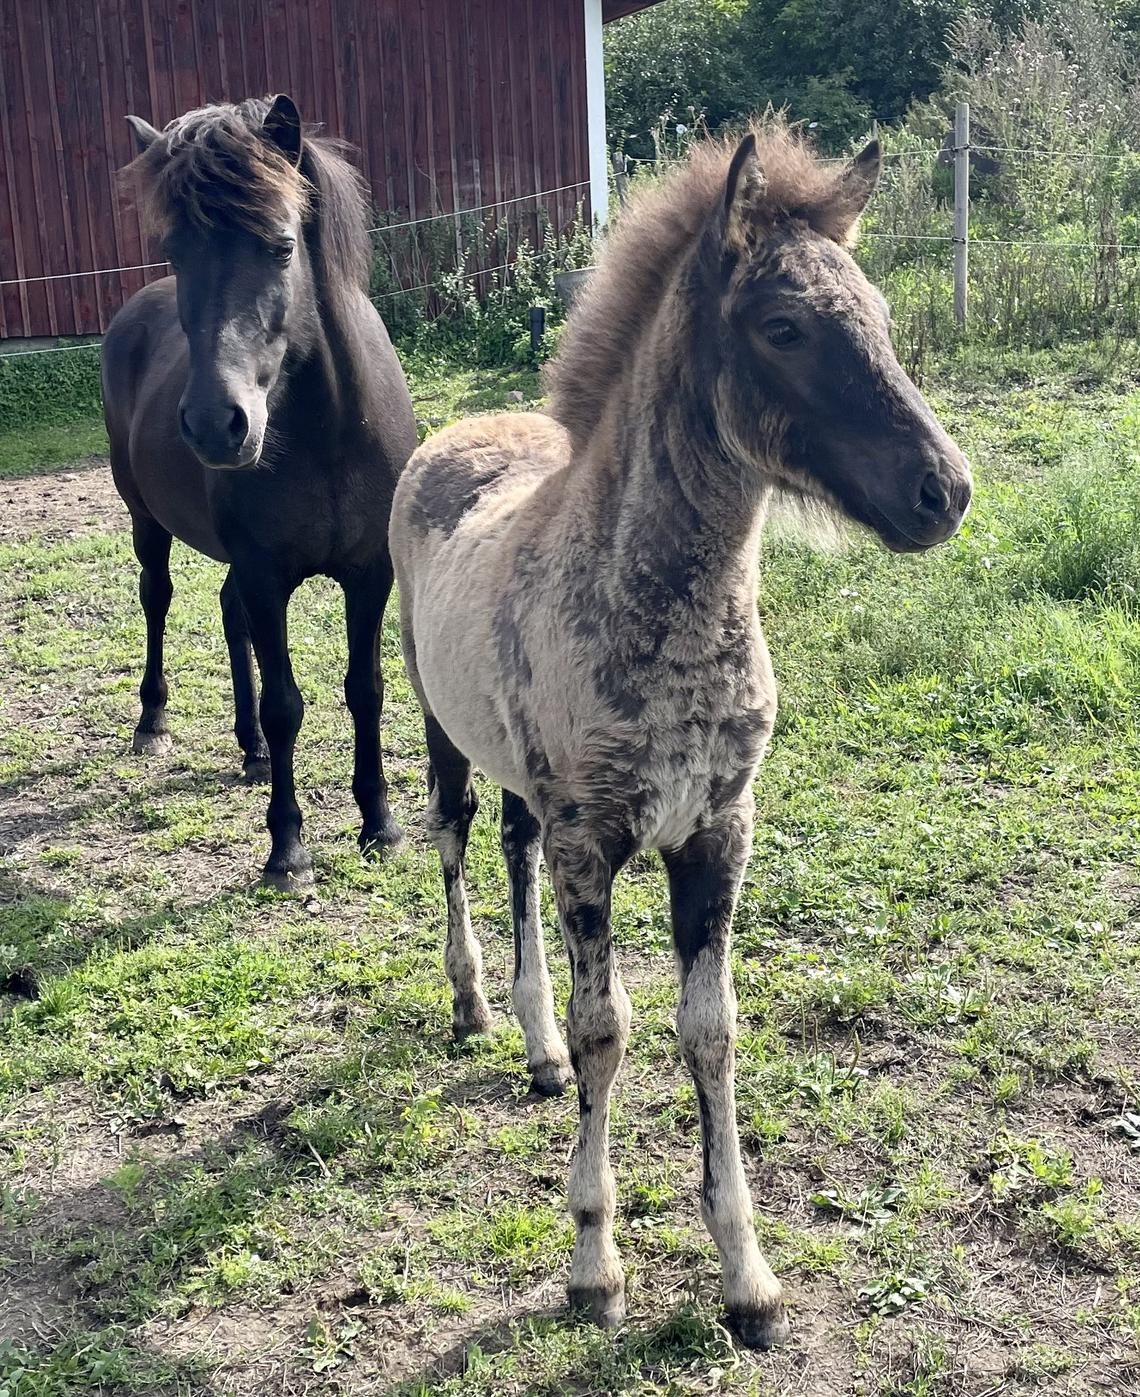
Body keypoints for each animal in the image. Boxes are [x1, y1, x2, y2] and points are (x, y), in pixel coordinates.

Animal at [101, 96, 417, 890]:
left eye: (280, 247)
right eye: (176, 252)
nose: (217, 423)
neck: (328, 432)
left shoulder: (370, 574)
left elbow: (364, 688)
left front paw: (381, 821)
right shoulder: (267, 574)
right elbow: (286, 704)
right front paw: (288, 847)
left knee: (227, 614)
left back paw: (249, 751)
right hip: (146, 521)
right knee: (158, 599)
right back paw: (154, 723)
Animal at [389, 121, 972, 1346]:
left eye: (880, 313)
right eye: (784, 327)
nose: (944, 490)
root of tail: (462, 427)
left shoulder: (716, 831)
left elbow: (711, 1030)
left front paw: (748, 1278)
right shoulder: (594, 840)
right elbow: (612, 1028)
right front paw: (594, 1265)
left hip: (529, 781)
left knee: (509, 852)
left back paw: (533, 1047)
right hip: (438, 722)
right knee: (458, 842)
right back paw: (474, 1002)